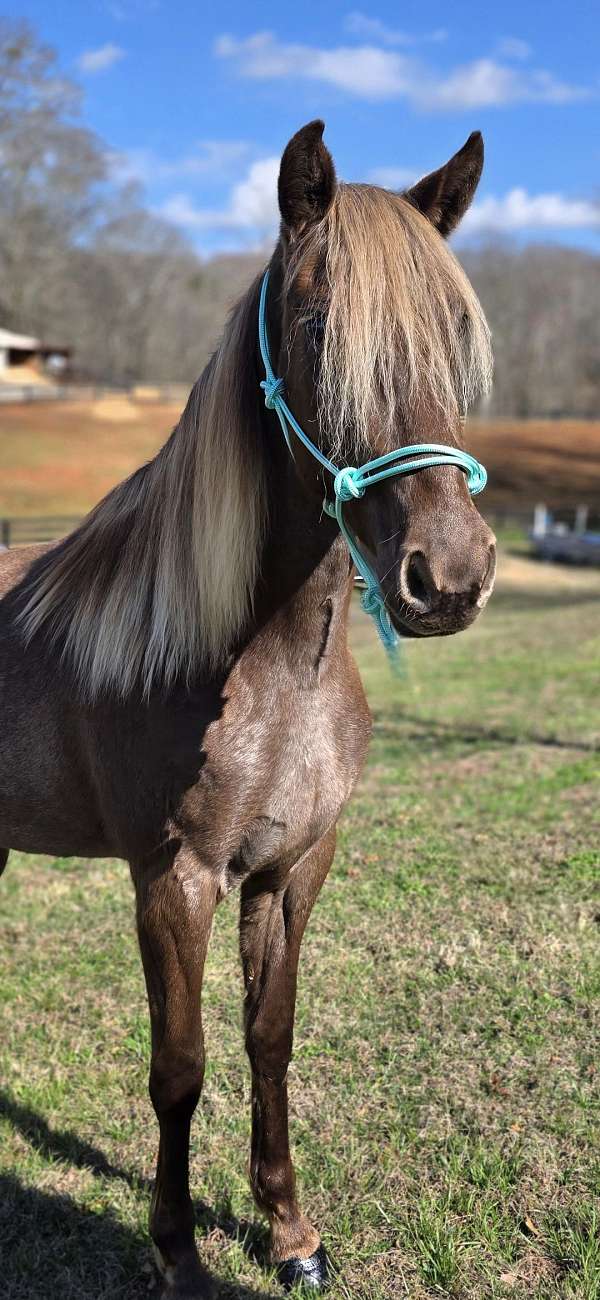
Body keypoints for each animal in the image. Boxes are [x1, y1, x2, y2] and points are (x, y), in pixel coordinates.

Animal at [0, 121, 496, 1297]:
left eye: (458, 334)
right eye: (319, 329)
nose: (449, 578)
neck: (265, 671)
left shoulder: (293, 867)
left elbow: (269, 1033)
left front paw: (290, 1231)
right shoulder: (173, 881)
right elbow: (178, 1067)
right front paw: (178, 1251)